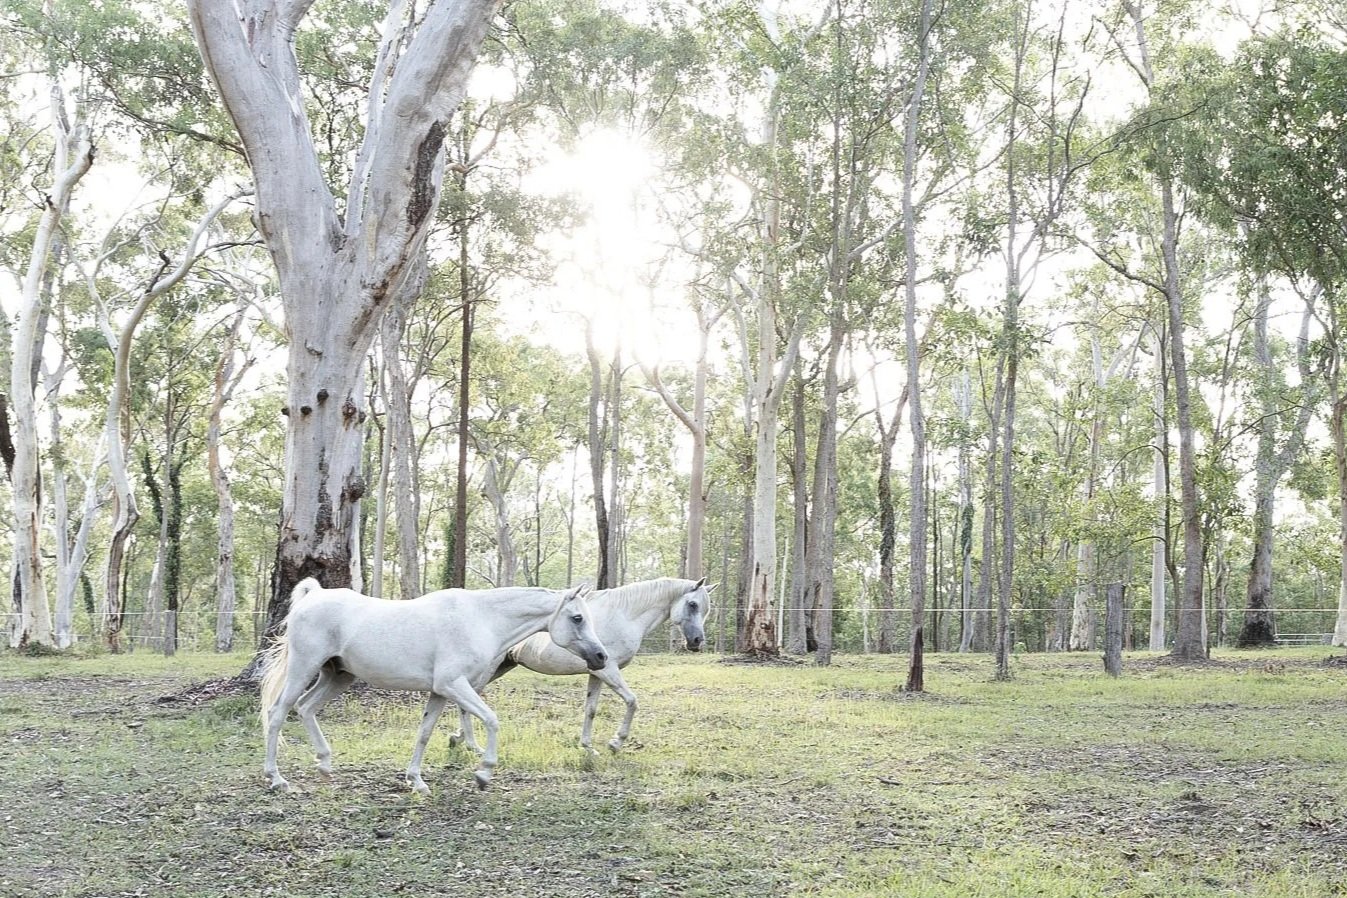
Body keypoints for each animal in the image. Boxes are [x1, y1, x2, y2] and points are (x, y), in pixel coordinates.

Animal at [259, 579, 608, 793]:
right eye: (577, 618)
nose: (601, 656)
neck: (481, 620)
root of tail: (313, 596)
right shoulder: (453, 684)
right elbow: (491, 720)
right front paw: (483, 773)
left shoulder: (440, 691)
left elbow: (424, 733)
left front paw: (416, 781)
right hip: (304, 668)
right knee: (278, 713)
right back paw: (276, 779)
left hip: (337, 675)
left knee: (306, 708)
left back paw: (325, 764)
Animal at [450, 576, 713, 755]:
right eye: (692, 604)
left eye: (705, 609)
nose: (697, 641)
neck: (624, 615)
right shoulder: (609, 671)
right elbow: (632, 701)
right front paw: (615, 743)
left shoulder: (597, 672)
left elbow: (591, 710)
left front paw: (588, 747)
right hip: (486, 671)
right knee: (465, 703)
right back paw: (470, 744)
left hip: (501, 667)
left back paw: (458, 739)